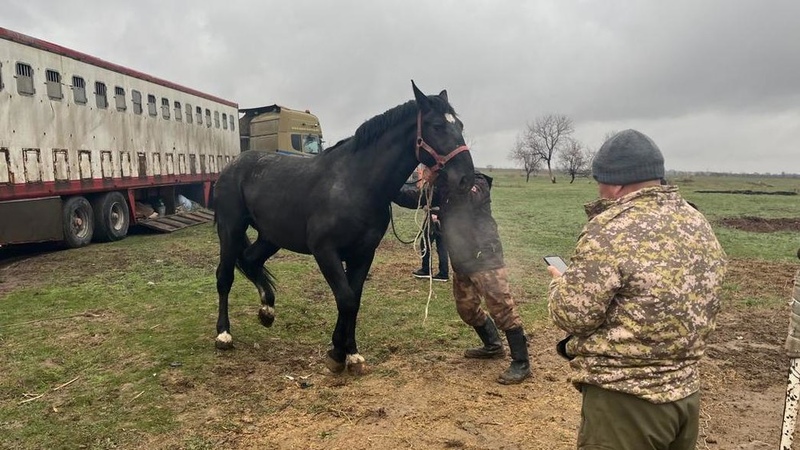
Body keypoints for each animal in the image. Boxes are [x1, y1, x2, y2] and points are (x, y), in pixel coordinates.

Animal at [212, 81, 474, 374]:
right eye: (436, 126)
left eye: (459, 125)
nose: (466, 178)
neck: (356, 183)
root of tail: (232, 165)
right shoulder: (326, 251)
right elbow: (346, 299)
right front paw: (337, 353)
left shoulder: (363, 253)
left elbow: (354, 300)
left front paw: (350, 353)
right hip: (230, 229)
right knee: (225, 276)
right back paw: (223, 334)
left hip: (271, 236)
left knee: (250, 260)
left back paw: (267, 311)